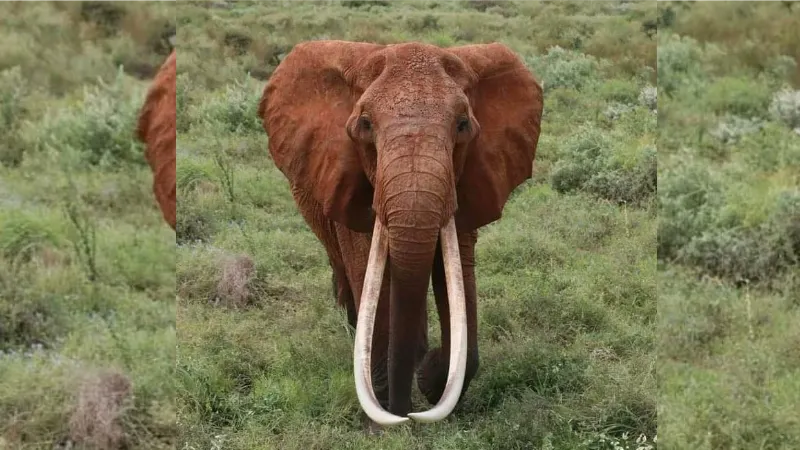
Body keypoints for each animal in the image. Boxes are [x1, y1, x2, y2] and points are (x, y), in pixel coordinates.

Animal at [260, 40, 548, 428]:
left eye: (462, 125)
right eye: (365, 125)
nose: (405, 414)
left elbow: (455, 274)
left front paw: (429, 377)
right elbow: (370, 271)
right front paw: (386, 423)